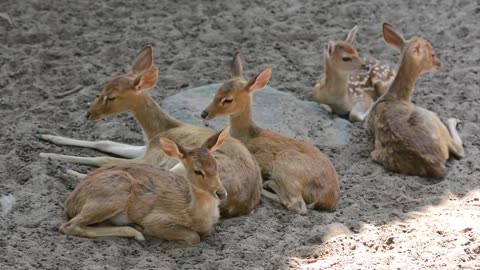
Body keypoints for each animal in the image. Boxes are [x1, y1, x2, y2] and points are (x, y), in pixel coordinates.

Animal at [38, 45, 262, 218]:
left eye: (112, 96)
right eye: (101, 90)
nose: (89, 113)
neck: (160, 129)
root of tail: (237, 203)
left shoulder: (151, 157)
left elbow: (103, 159)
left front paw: (49, 156)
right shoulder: (146, 147)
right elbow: (105, 143)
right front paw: (45, 137)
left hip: (182, 168)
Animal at [60, 126, 231, 245]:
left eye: (215, 164)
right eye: (197, 170)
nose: (221, 193)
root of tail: (71, 202)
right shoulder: (157, 219)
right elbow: (193, 236)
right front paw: (144, 229)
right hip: (113, 195)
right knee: (69, 226)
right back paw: (138, 232)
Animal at [201, 51, 340, 215]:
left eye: (228, 100)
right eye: (216, 91)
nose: (204, 113)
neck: (248, 135)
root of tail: (328, 199)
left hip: (286, 163)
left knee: (297, 204)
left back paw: (269, 184)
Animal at [364, 22, 464, 177]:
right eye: (432, 54)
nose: (439, 64)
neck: (395, 97)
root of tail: (435, 164)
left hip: (375, 154)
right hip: (431, 116)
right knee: (459, 150)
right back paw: (454, 119)